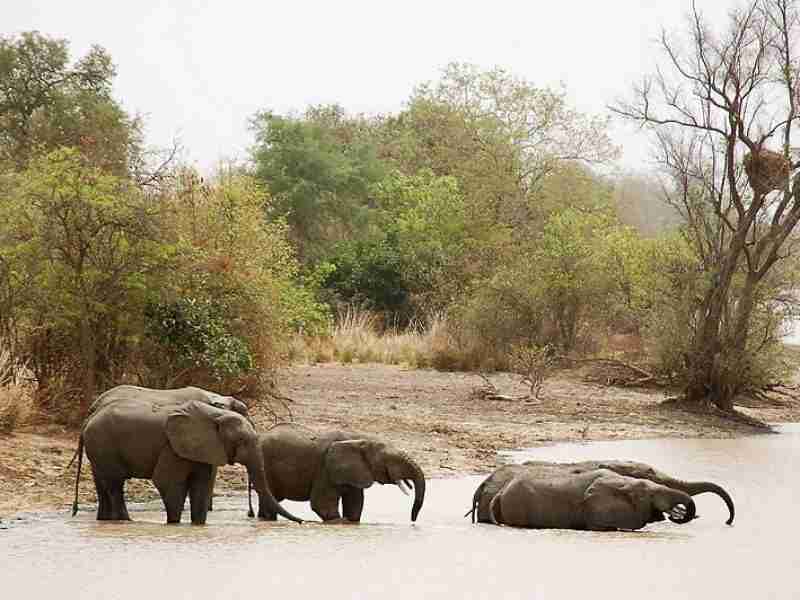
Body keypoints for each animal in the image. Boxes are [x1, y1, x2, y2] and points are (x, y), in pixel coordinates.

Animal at [74, 386, 304, 524]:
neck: (215, 405)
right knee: (115, 484)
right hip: (104, 444)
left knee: (103, 483)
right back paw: (125, 522)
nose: (250, 514)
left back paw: (105, 521)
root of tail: (89, 416)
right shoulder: (176, 445)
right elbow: (168, 481)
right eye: (241, 441)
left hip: (100, 448)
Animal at [256, 424, 424, 524]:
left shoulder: (356, 472)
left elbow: (355, 505)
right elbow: (322, 504)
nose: (413, 521)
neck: (360, 439)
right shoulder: (325, 467)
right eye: (390, 460)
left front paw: (351, 522)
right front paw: (342, 523)